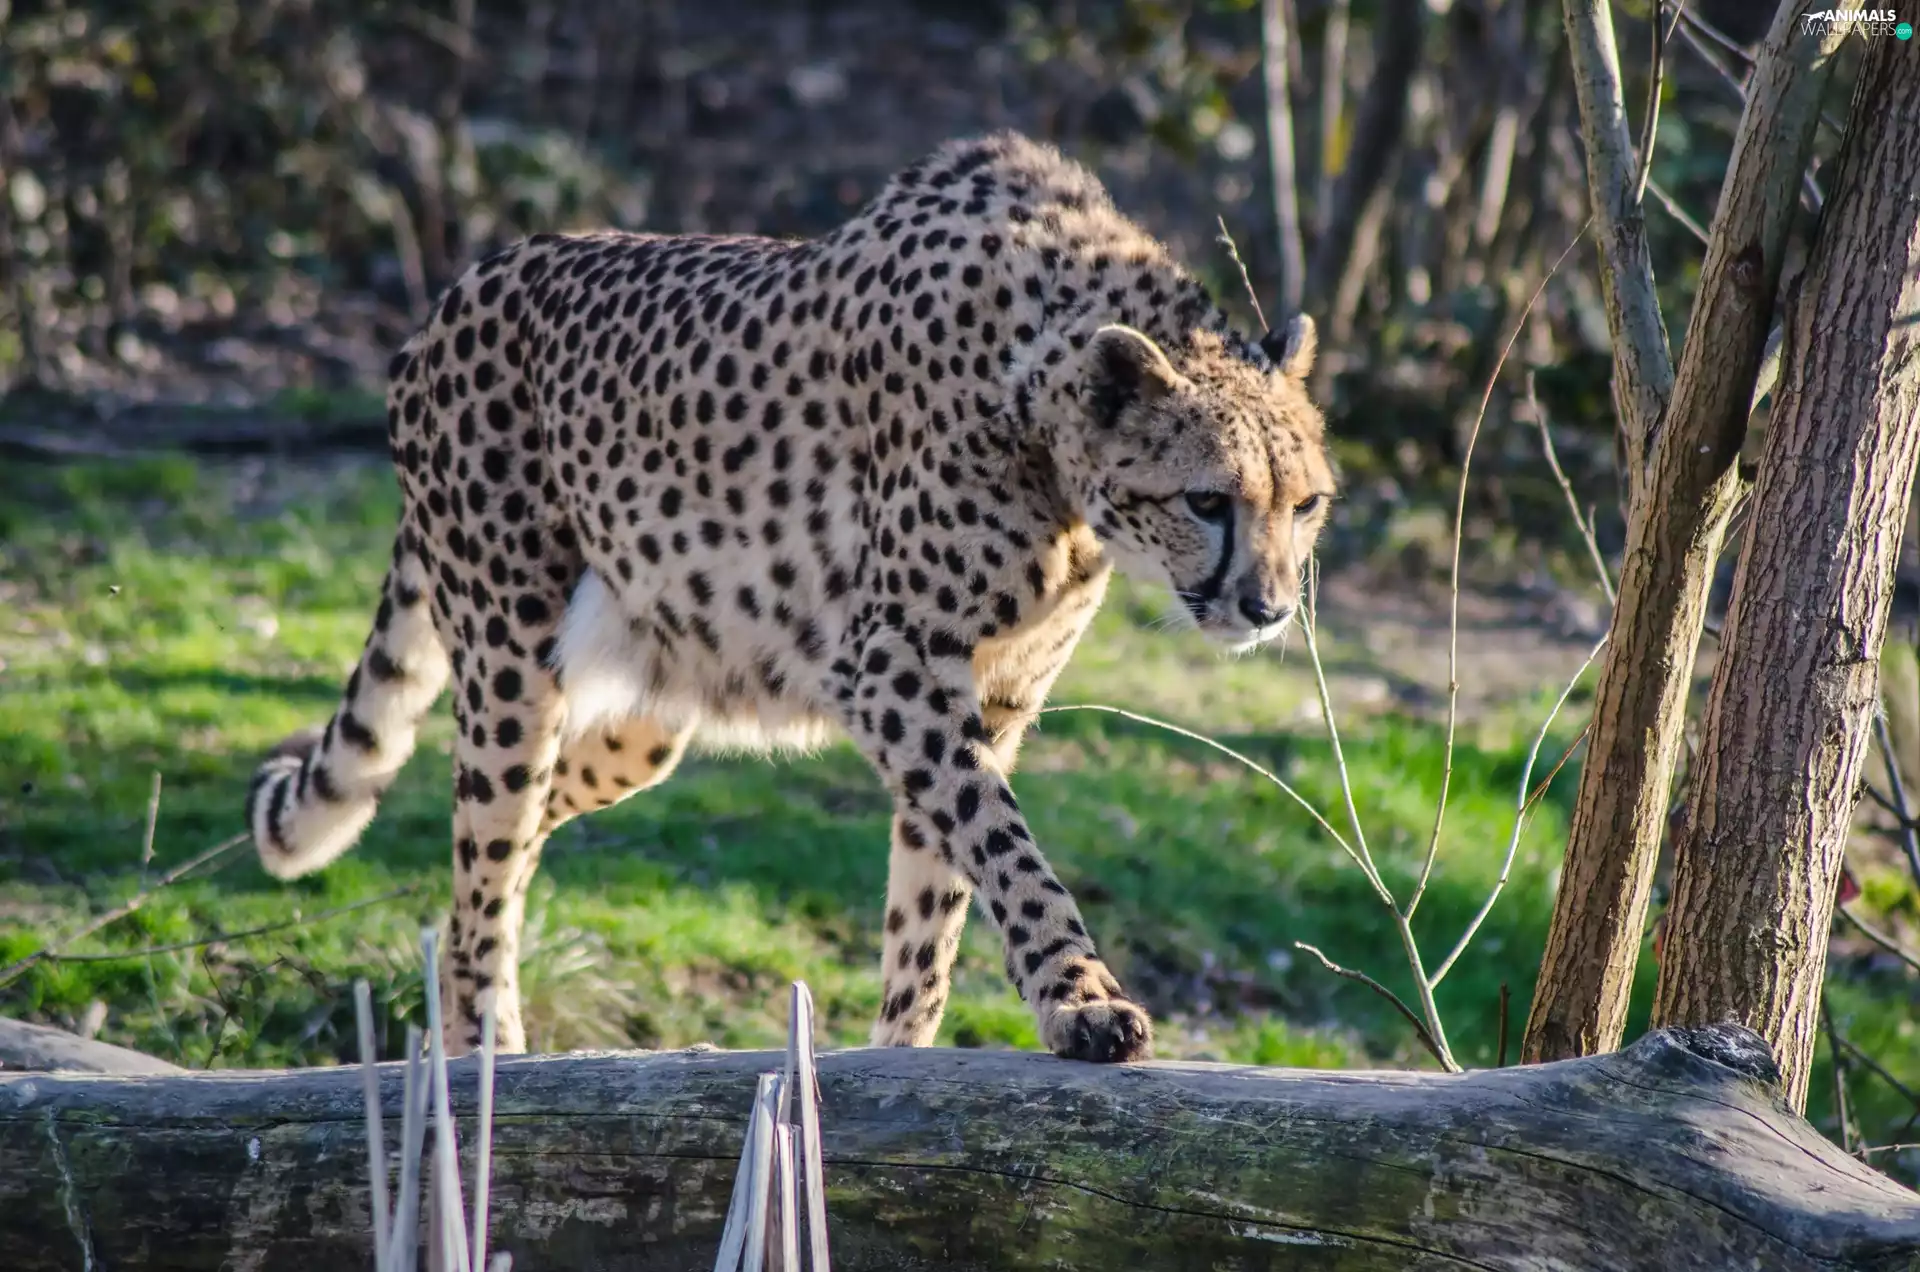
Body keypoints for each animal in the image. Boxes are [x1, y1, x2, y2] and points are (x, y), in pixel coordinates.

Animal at [245, 130, 1336, 1064]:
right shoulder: (892, 662)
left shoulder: (993, 694)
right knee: (488, 860)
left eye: (1308, 504)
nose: (1269, 609)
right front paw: (1083, 1002)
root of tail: (459, 286)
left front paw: (901, 1051)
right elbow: (999, 840)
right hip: (512, 662)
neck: (1042, 408)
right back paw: (481, 1055)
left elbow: (937, 892)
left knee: (514, 841)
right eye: (1208, 500)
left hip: (653, 707)